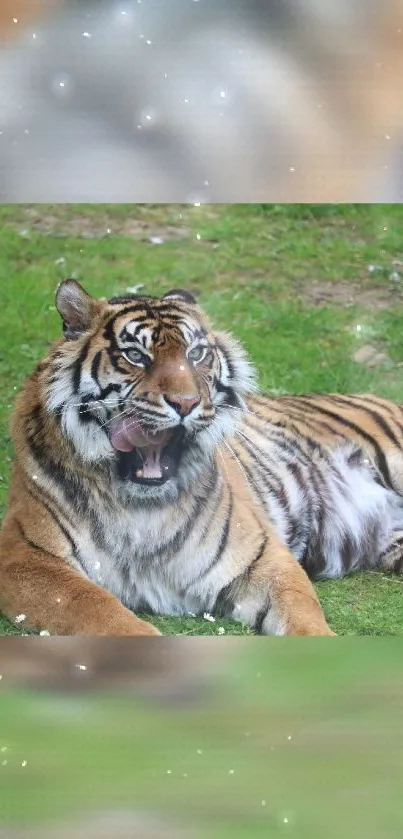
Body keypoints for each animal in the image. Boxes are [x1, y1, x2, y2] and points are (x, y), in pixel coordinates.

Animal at [0, 280, 403, 636]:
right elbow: (96, 608)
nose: (186, 403)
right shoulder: (25, 554)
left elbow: (303, 615)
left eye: (195, 354)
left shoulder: (262, 555)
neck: (141, 506)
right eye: (136, 356)